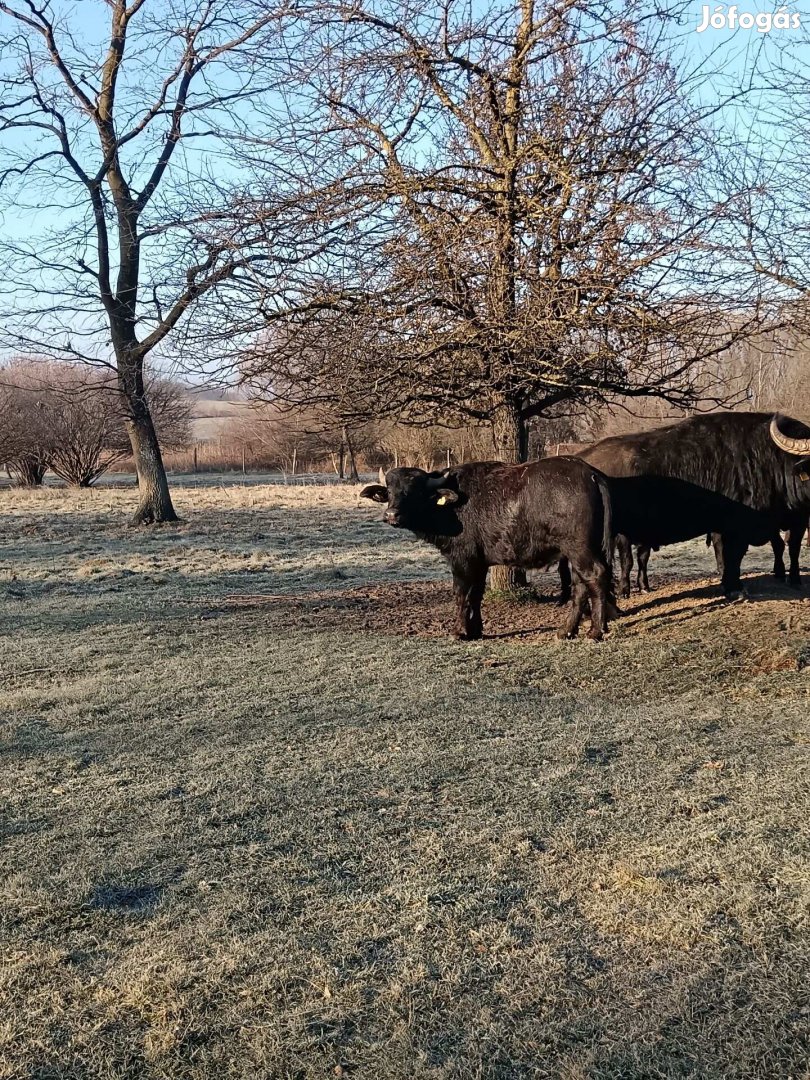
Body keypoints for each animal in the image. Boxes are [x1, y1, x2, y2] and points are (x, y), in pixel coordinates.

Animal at [360, 457, 613, 639]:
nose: (391, 515)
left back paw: (595, 631)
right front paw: (476, 629)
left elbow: (461, 593)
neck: (453, 506)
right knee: (581, 585)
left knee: (596, 575)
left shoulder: (462, 560)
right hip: (579, 552)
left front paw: (458, 631)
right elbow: (476, 594)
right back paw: (566, 630)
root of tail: (590, 474)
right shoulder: (480, 563)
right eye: (390, 491)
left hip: (578, 548)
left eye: (415, 492)